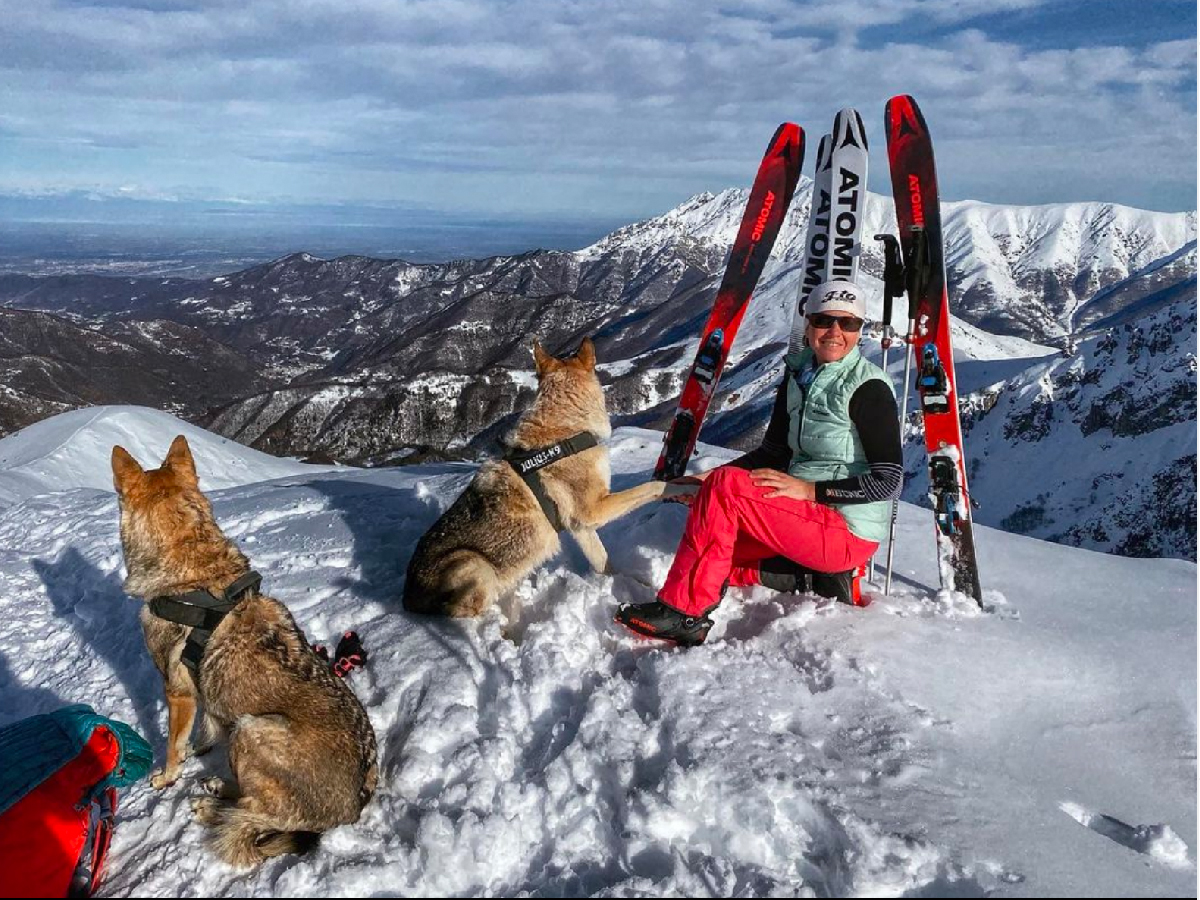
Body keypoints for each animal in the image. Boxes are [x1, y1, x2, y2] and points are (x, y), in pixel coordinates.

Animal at [112, 436, 376, 868]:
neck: (194, 565)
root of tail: (349, 813)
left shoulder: (177, 691)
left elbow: (172, 746)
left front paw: (167, 776)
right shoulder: (200, 696)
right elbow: (204, 728)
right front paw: (199, 747)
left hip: (252, 729)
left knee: (250, 814)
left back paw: (210, 805)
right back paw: (218, 788)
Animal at [400, 338, 667, 619]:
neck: (565, 429)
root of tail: (407, 599)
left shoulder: (581, 526)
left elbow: (605, 563)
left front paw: (627, 587)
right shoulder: (593, 509)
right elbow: (653, 485)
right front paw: (681, 485)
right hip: (478, 566)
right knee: (463, 610)